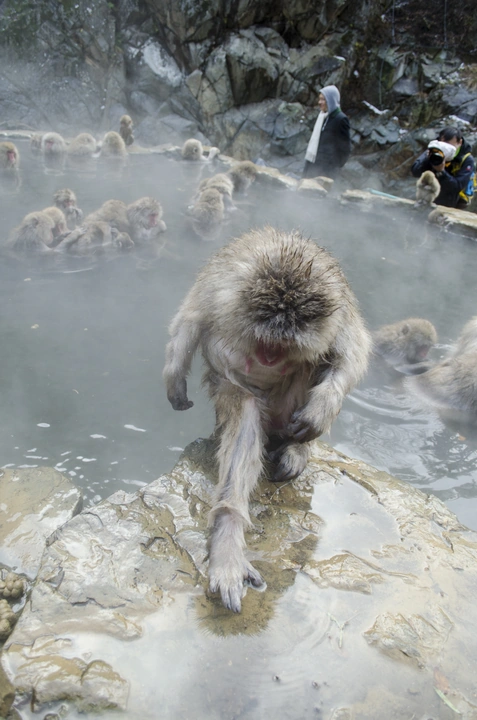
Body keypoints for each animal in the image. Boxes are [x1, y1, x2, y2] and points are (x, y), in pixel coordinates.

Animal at [163, 226, 371, 612]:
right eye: (266, 339)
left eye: (283, 344)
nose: (270, 357)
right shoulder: (216, 287)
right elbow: (190, 320)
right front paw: (174, 380)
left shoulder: (340, 311)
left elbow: (351, 353)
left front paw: (323, 407)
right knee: (244, 416)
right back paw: (228, 534)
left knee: (315, 363)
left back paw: (295, 449)